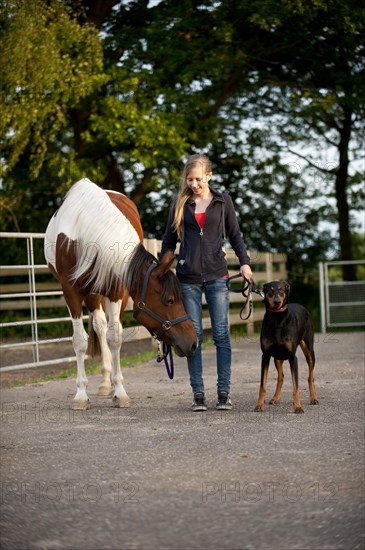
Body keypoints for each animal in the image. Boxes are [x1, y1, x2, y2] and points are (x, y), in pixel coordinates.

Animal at [44, 179, 198, 412]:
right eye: (170, 300)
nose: (193, 343)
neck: (85, 233)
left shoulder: (116, 290)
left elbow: (115, 336)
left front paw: (120, 392)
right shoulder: (70, 290)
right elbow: (79, 341)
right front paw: (81, 395)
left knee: (104, 327)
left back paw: (108, 383)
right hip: (90, 293)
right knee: (99, 326)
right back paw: (104, 382)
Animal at [255, 282, 318, 416]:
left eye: (281, 290)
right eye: (270, 291)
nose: (277, 302)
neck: (277, 317)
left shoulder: (292, 357)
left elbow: (296, 387)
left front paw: (298, 407)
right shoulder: (265, 356)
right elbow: (263, 385)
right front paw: (259, 405)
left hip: (309, 352)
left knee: (310, 377)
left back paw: (314, 398)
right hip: (277, 358)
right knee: (281, 377)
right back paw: (275, 398)